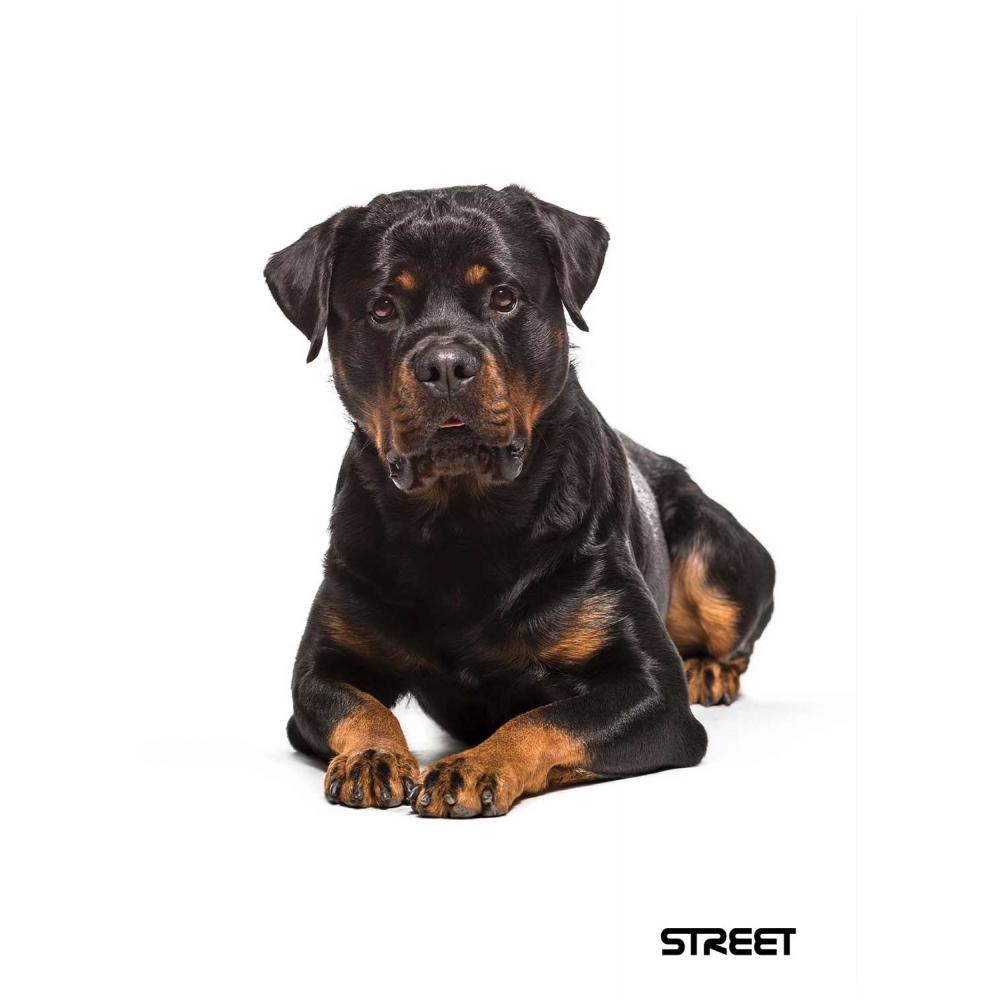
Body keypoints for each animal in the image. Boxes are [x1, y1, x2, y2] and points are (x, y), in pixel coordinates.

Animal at [265, 185, 774, 817]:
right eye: (382, 309)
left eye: (504, 297)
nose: (445, 364)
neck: (462, 520)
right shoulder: (320, 670)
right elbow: (358, 707)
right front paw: (373, 754)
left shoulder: (653, 694)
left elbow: (547, 719)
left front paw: (476, 765)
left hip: (716, 554)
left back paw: (710, 671)